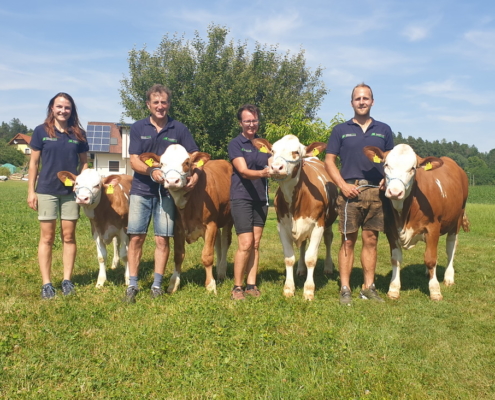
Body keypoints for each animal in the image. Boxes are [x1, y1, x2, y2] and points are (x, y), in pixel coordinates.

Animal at [139, 145, 233, 294]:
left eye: (187, 163)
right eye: (162, 164)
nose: (172, 181)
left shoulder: (210, 224)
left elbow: (207, 256)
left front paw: (210, 285)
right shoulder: (178, 228)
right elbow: (178, 255)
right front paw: (173, 284)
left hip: (229, 219)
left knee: (225, 241)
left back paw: (222, 271)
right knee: (218, 242)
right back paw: (218, 269)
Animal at [254, 135, 340, 300]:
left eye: (296, 152)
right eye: (272, 151)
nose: (276, 168)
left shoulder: (318, 225)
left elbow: (311, 259)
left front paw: (308, 290)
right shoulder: (282, 226)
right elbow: (289, 258)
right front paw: (289, 288)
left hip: (328, 222)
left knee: (328, 239)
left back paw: (327, 267)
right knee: (302, 245)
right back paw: (300, 270)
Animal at [366, 145, 470, 300]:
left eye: (413, 168)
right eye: (386, 165)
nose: (395, 192)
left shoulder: (433, 228)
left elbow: (431, 259)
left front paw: (435, 290)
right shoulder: (391, 230)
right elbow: (396, 259)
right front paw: (394, 288)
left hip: (456, 219)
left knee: (451, 247)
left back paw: (448, 277)